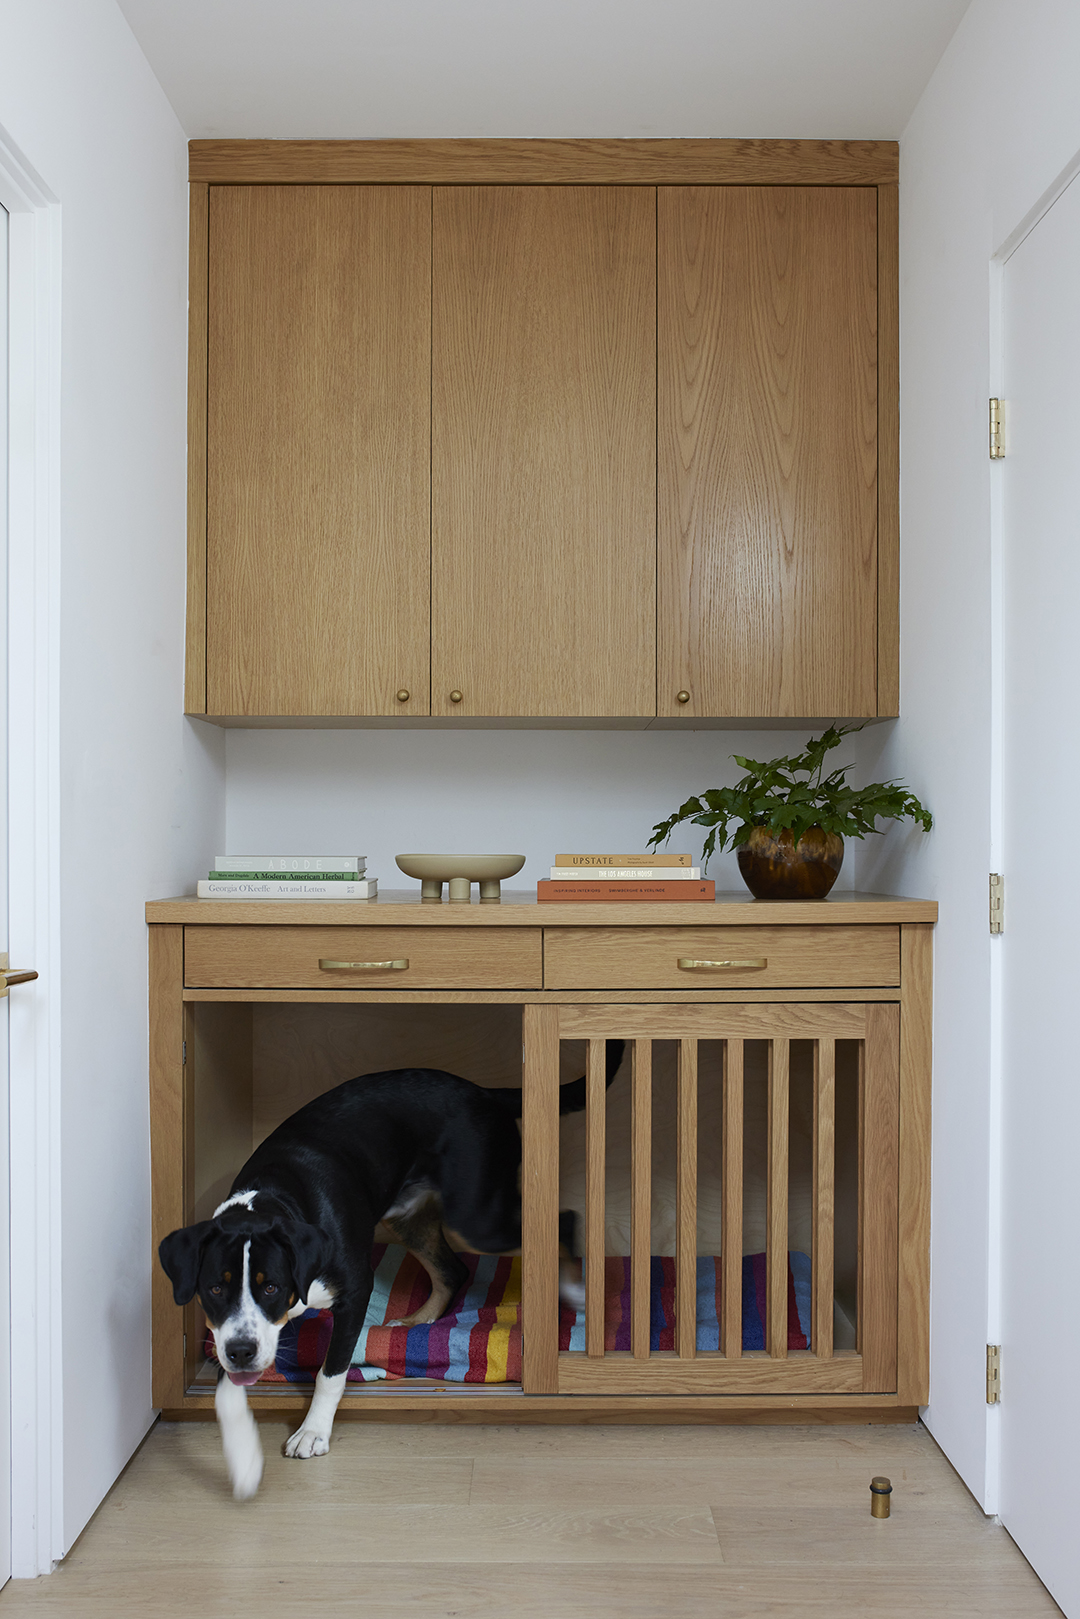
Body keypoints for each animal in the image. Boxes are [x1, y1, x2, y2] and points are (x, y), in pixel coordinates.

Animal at [156, 1042, 621, 1495]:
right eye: (215, 1289)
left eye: (270, 1287)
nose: (243, 1352)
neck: (274, 1201)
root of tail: (482, 1092)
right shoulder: (224, 1332)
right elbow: (226, 1394)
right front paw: (245, 1461)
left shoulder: (353, 1293)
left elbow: (330, 1371)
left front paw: (313, 1431)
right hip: (410, 1218)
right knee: (452, 1270)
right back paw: (417, 1320)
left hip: (477, 1217)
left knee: (561, 1221)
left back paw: (574, 1290)